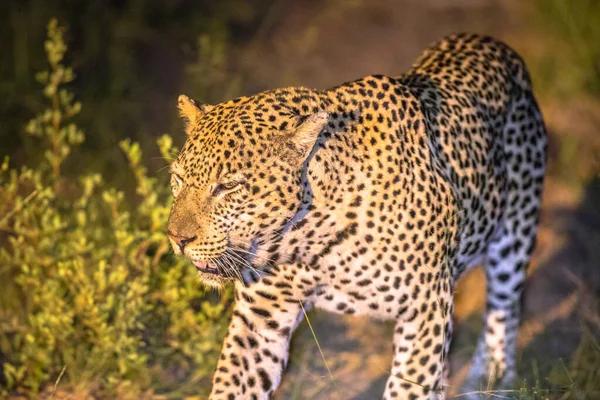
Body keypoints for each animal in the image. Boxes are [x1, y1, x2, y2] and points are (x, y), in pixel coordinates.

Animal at [166, 32, 548, 398]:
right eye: (179, 178)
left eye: (228, 186)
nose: (177, 239)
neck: (305, 242)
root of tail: (494, 44)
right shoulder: (261, 320)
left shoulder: (426, 310)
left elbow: (409, 389)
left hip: (514, 235)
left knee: (504, 310)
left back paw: (492, 380)